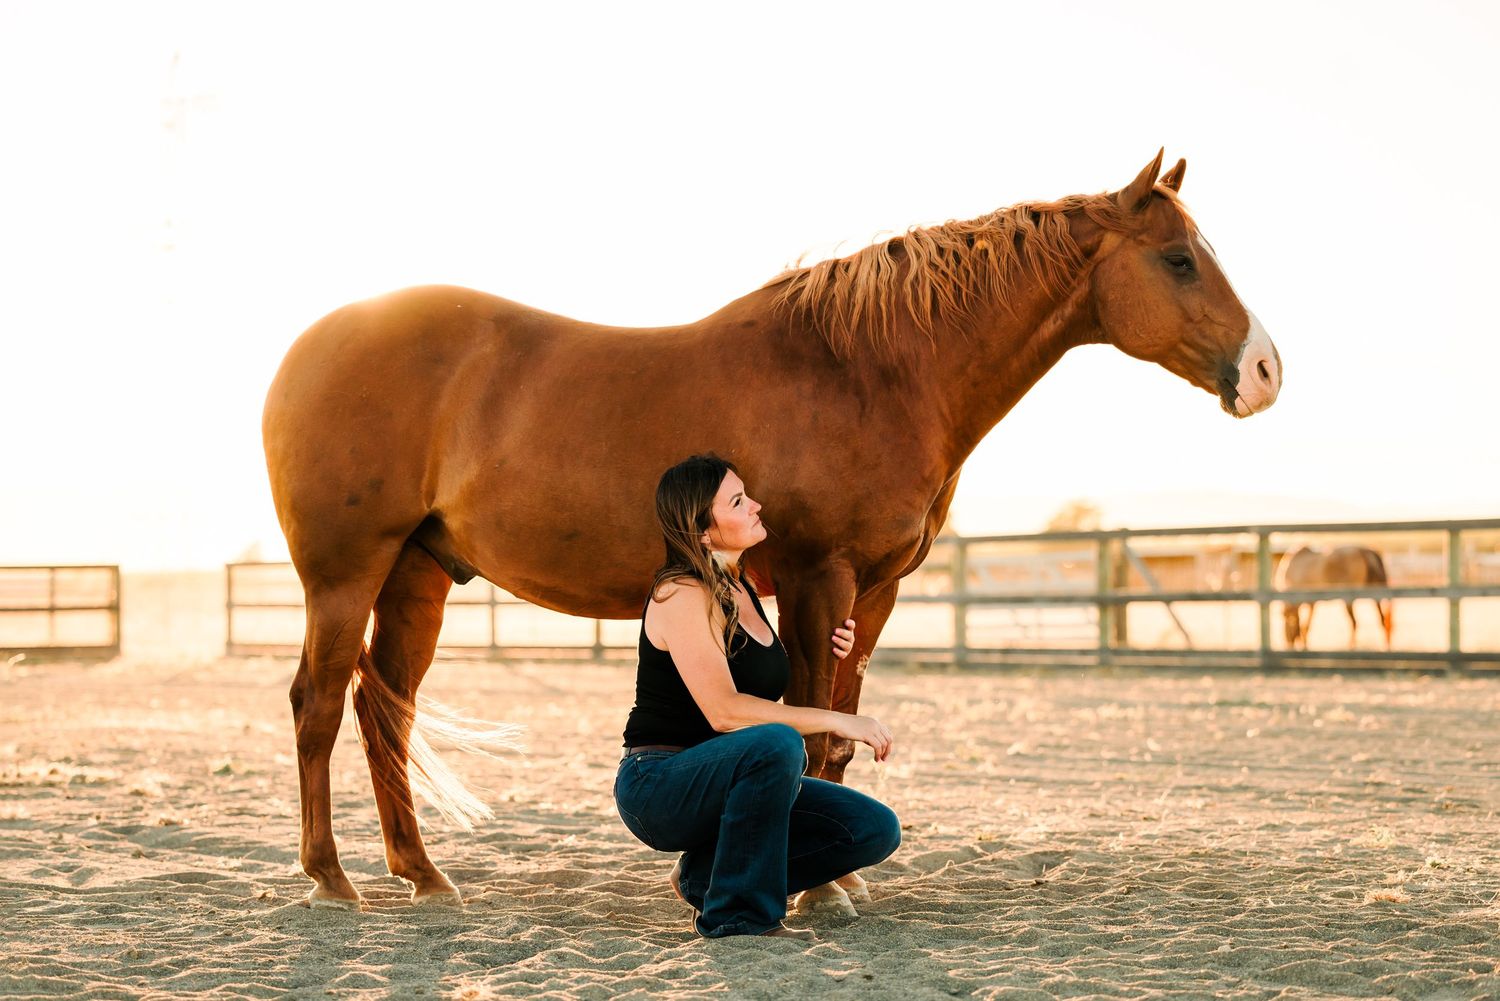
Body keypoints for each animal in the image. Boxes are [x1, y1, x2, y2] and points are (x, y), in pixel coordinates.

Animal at [263, 150, 1282, 910]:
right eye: (1179, 259)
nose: (1267, 370)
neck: (867, 369)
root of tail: (304, 351)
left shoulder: (875, 591)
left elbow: (837, 729)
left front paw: (834, 883)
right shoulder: (816, 577)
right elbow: (811, 721)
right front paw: (818, 891)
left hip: (418, 575)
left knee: (385, 708)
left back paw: (423, 874)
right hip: (345, 575)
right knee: (319, 706)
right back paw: (332, 879)